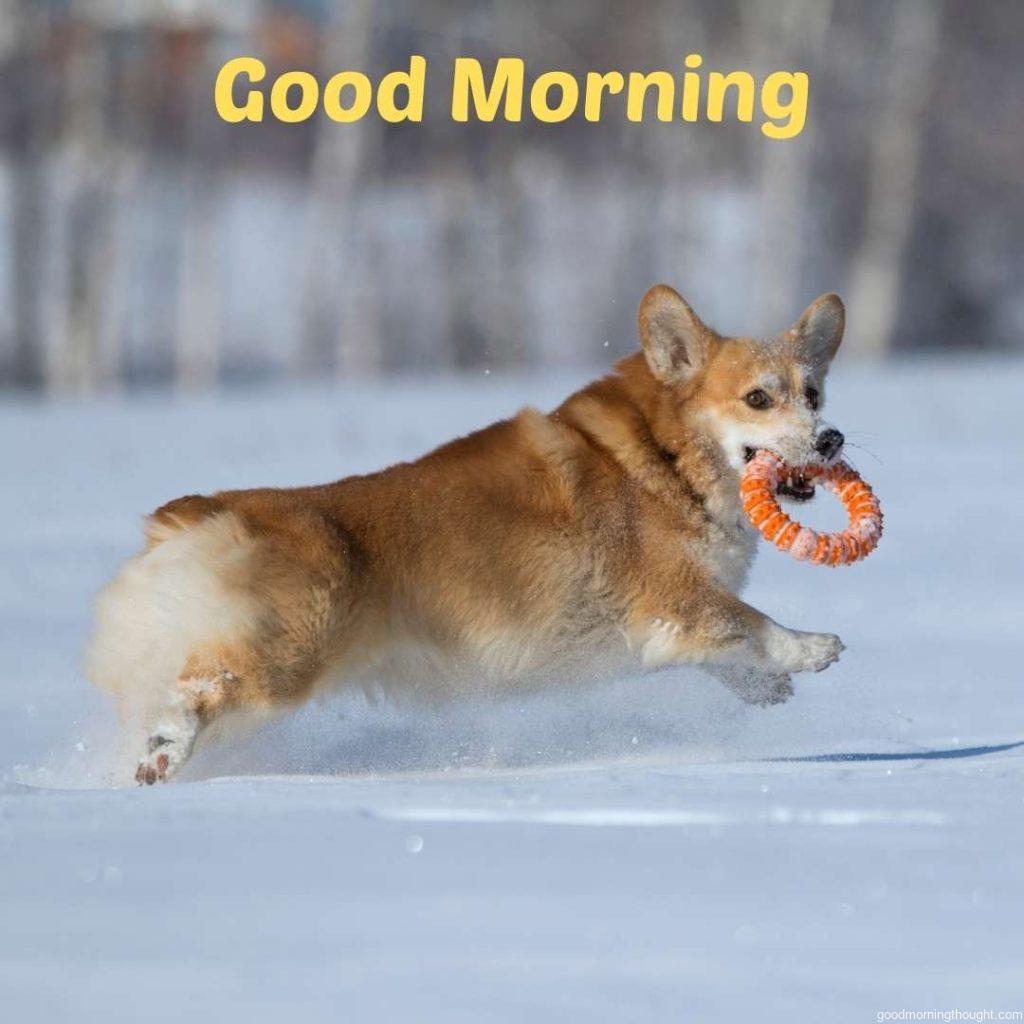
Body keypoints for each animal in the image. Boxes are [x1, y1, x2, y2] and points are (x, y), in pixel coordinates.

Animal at [86, 284, 847, 778]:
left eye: (813, 394)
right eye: (758, 398)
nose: (832, 439)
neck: (670, 456)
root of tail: (206, 513)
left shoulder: (673, 623)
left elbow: (729, 649)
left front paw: (766, 689)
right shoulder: (676, 599)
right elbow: (754, 625)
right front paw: (814, 649)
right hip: (288, 654)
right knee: (202, 689)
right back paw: (164, 748)